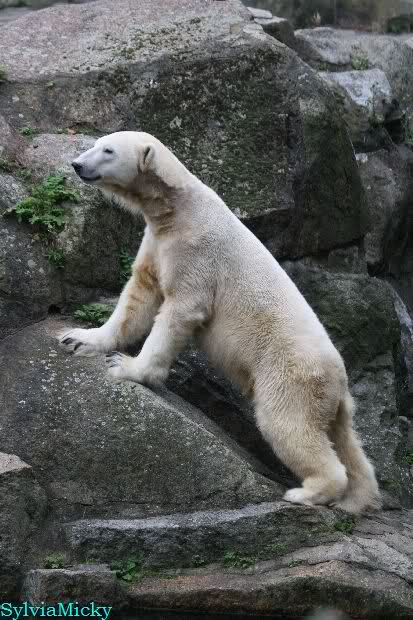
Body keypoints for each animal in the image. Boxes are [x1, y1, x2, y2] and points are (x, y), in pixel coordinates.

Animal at [60, 131, 380, 514]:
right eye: (97, 142)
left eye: (108, 150)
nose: (77, 164)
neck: (178, 208)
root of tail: (340, 380)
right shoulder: (158, 241)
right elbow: (138, 294)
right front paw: (80, 338)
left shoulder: (198, 252)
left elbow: (180, 309)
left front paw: (128, 367)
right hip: (331, 401)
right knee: (347, 442)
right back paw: (357, 499)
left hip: (291, 377)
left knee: (288, 426)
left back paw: (307, 492)